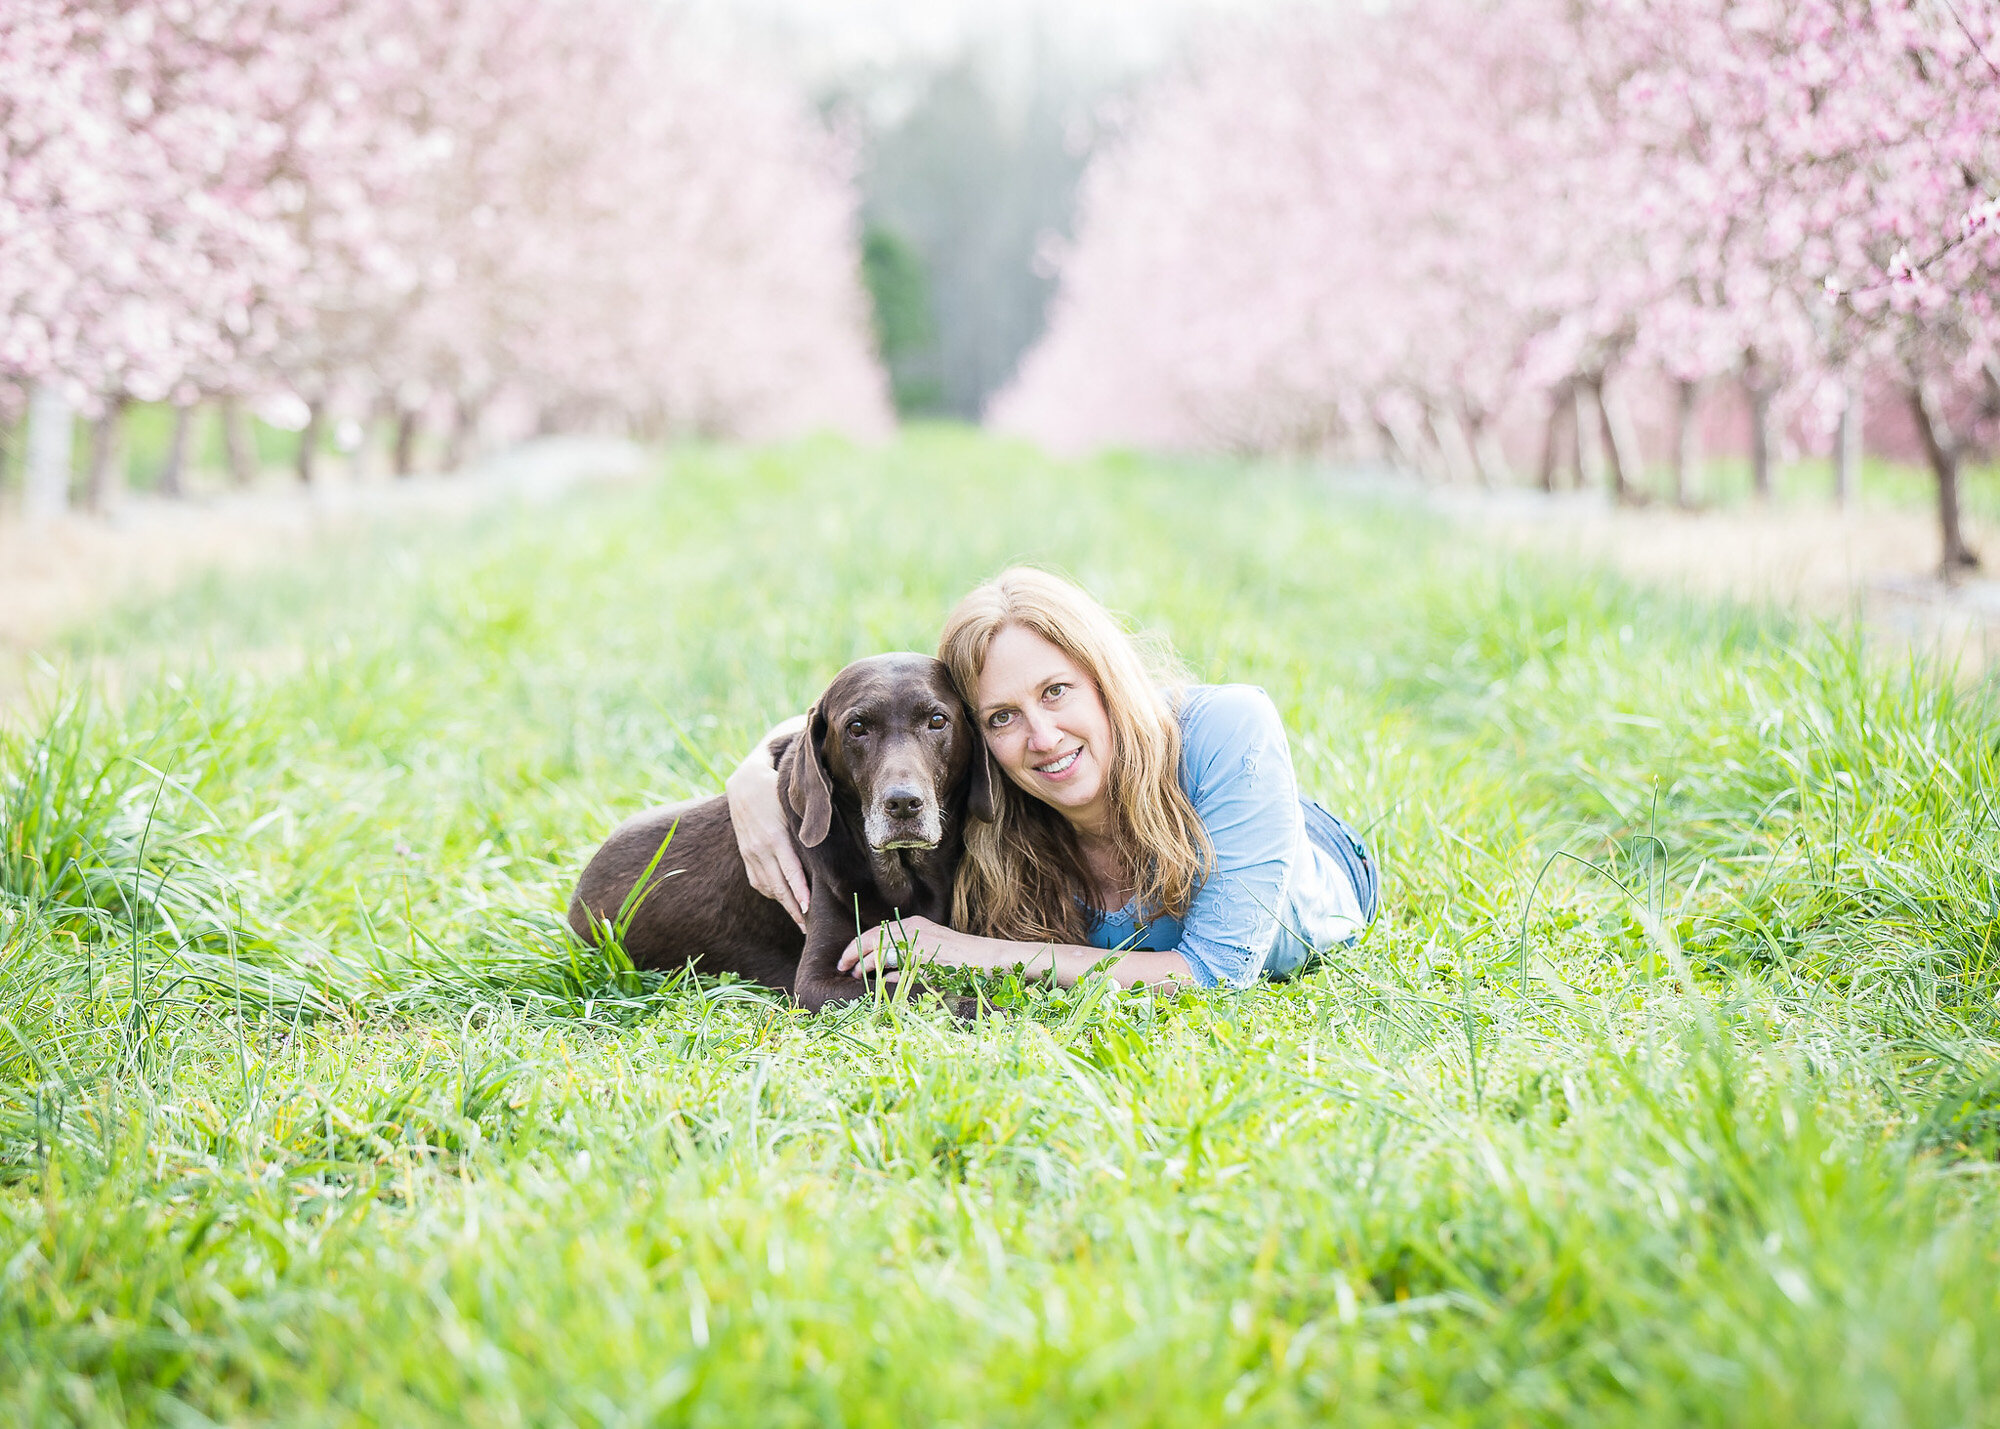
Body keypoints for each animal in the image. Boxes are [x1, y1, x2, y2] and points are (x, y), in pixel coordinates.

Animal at [572, 652, 992, 1008]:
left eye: (937, 720)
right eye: (857, 727)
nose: (903, 803)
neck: (903, 873)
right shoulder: (817, 981)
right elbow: (915, 991)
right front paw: (985, 1006)